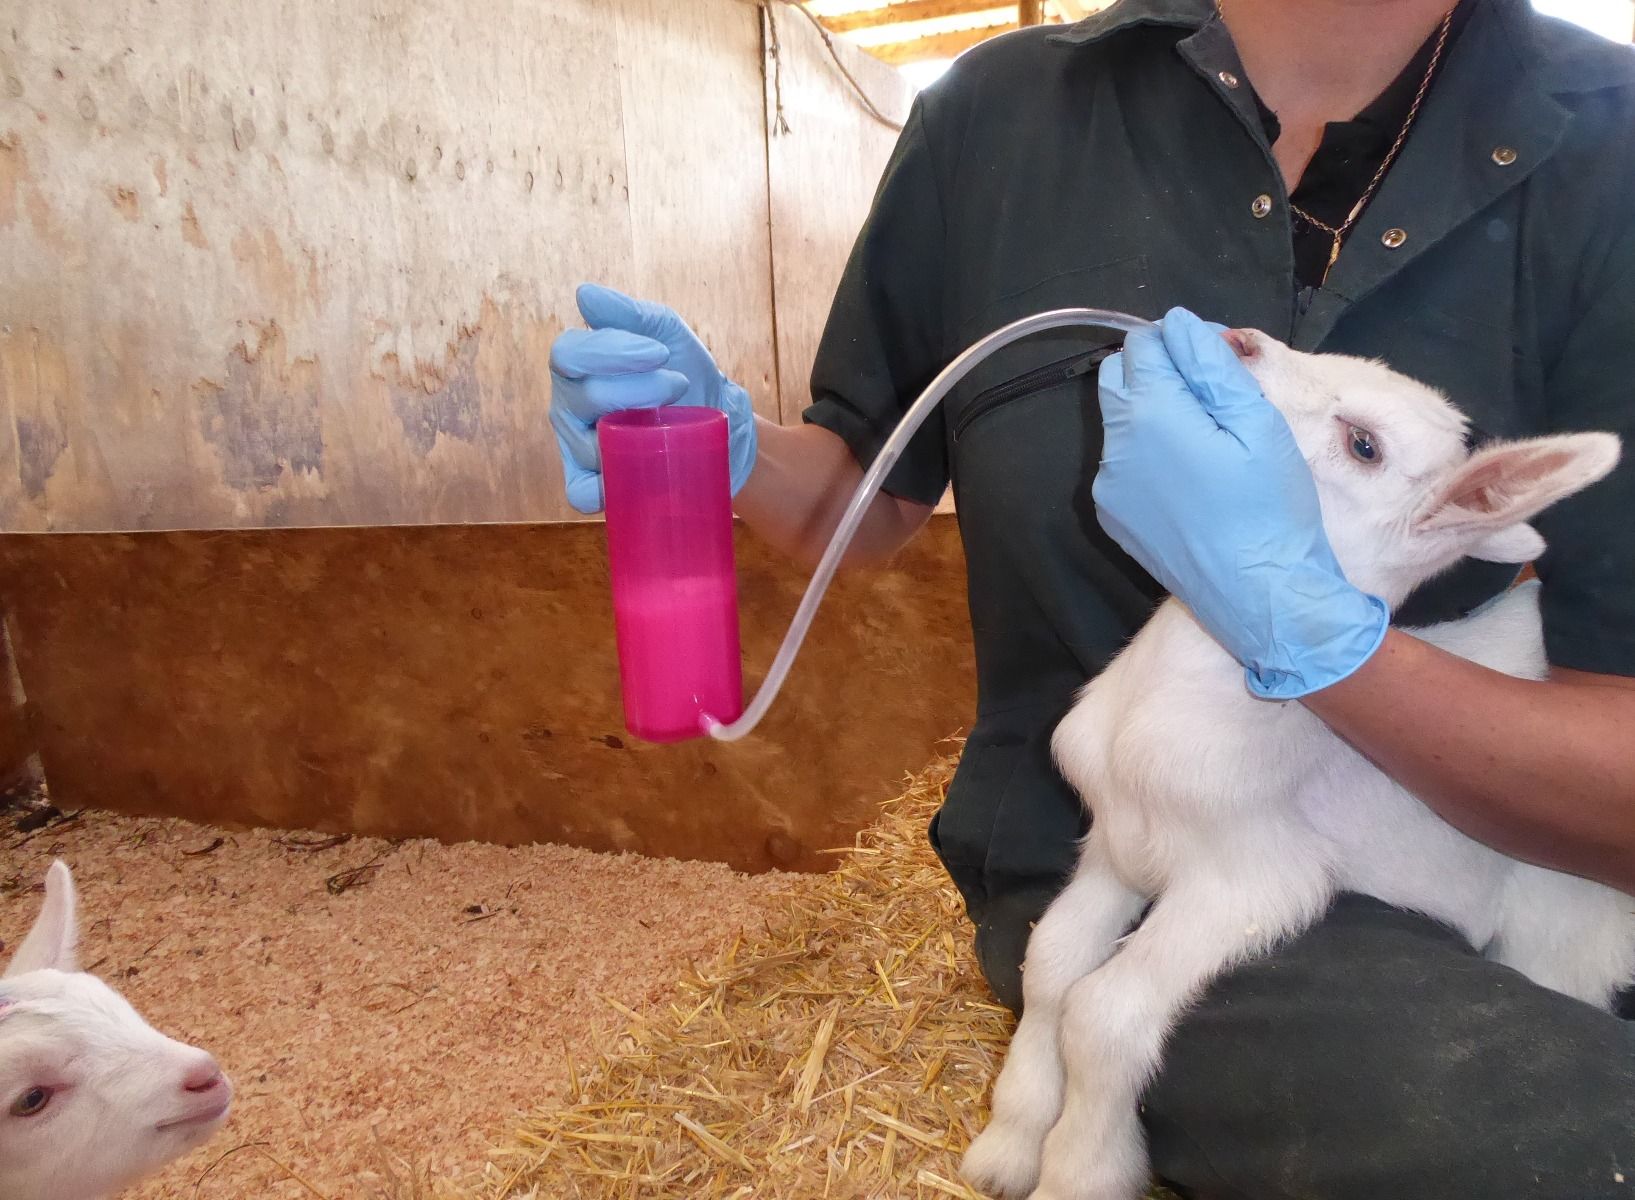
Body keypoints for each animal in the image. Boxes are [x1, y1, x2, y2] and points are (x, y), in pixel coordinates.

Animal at [959, 326, 1628, 1200]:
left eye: (1364, 445)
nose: (1238, 341)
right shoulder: (1115, 847)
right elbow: (1050, 965)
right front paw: (1009, 1142)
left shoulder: (1247, 878)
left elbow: (1103, 1011)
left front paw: (1081, 1169)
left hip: (1564, 930)